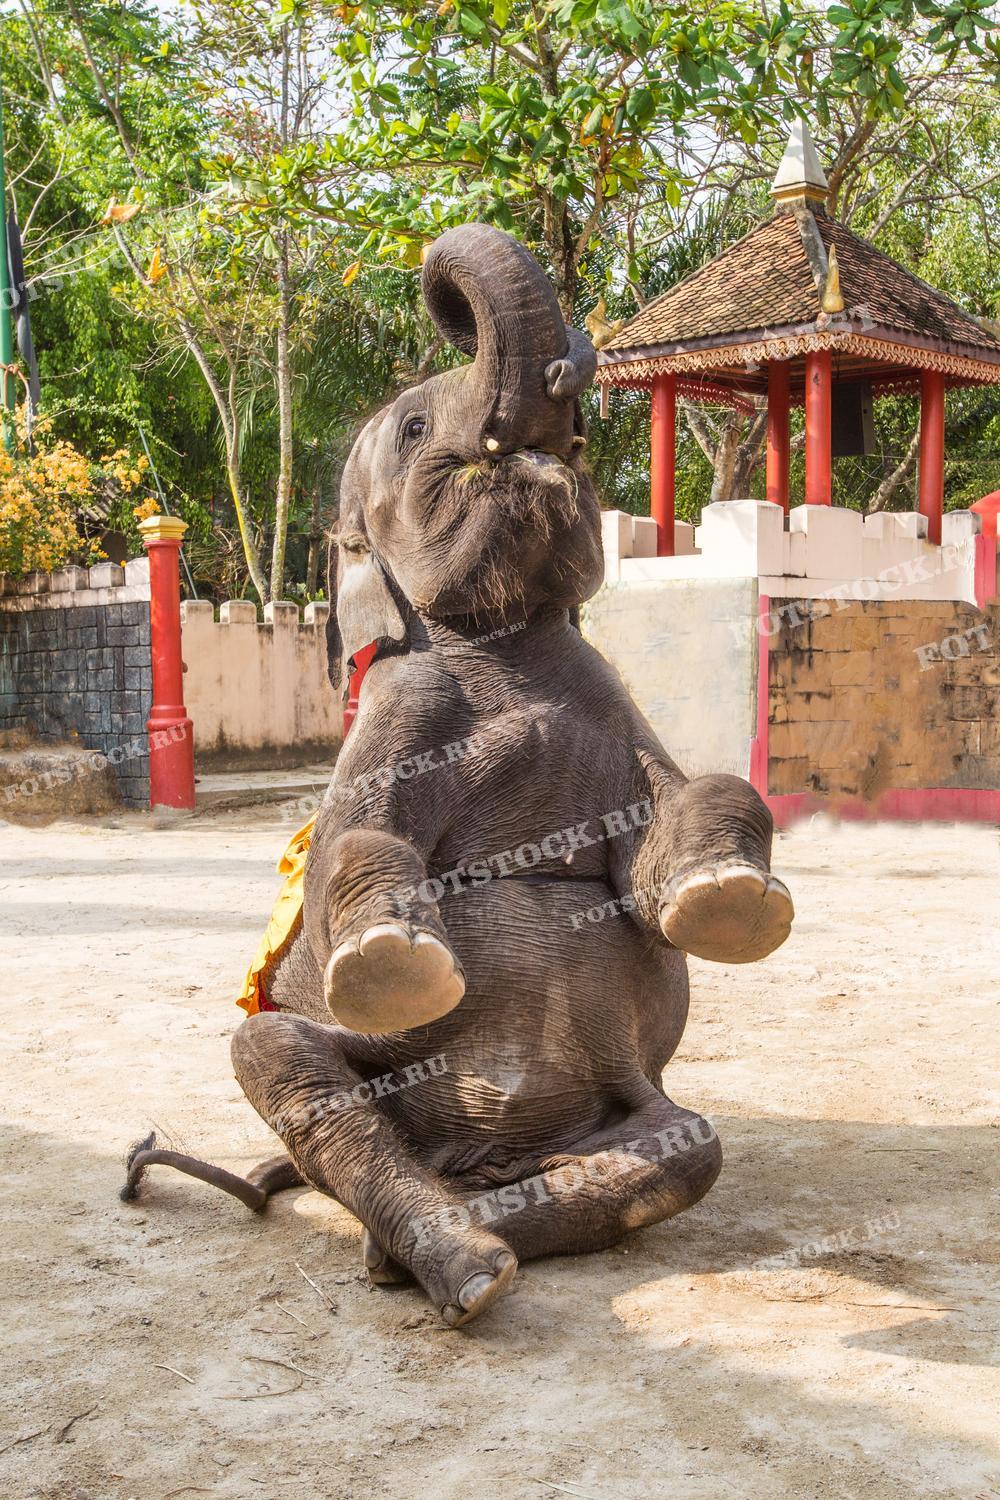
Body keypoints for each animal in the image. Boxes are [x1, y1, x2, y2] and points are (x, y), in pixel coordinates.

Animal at [122, 223, 793, 1328]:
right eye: (413, 427)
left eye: (577, 442)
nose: (557, 404)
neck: (506, 643)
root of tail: (467, 1152)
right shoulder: (399, 709)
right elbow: (351, 851)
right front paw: (391, 963)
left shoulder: (613, 705)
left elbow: (658, 855)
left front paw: (732, 906)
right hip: (358, 1081)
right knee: (281, 1063)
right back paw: (454, 1262)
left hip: (624, 1108)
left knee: (687, 1145)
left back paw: (461, 1230)